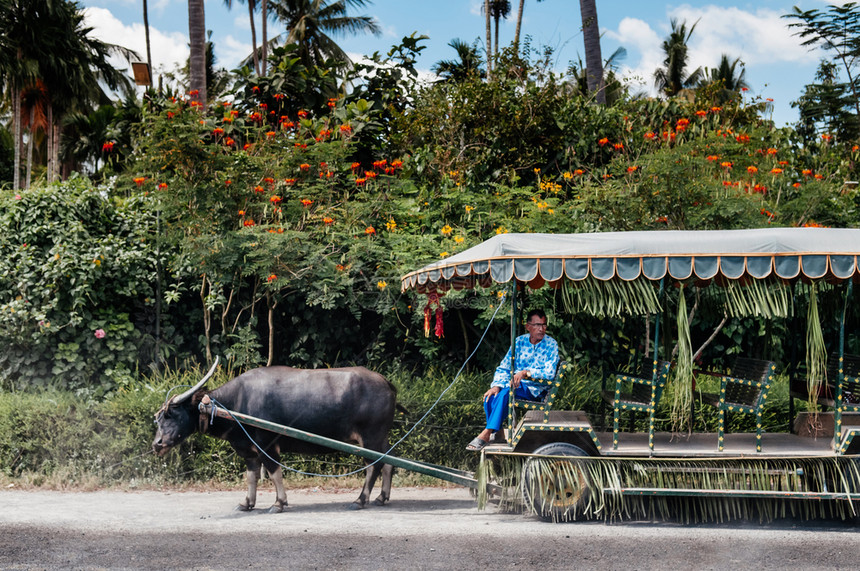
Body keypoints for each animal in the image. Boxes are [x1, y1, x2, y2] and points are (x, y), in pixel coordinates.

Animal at [152, 360, 400, 512]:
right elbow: (251, 476)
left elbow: (274, 473)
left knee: (374, 466)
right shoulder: (249, 451)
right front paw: (247, 503)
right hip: (380, 437)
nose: (157, 444)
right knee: (389, 460)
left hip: (371, 437)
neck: (236, 404)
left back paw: (360, 500)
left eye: (172, 414)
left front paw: (279, 503)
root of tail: (386, 382)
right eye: (159, 417)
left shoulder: (267, 445)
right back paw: (381, 497)